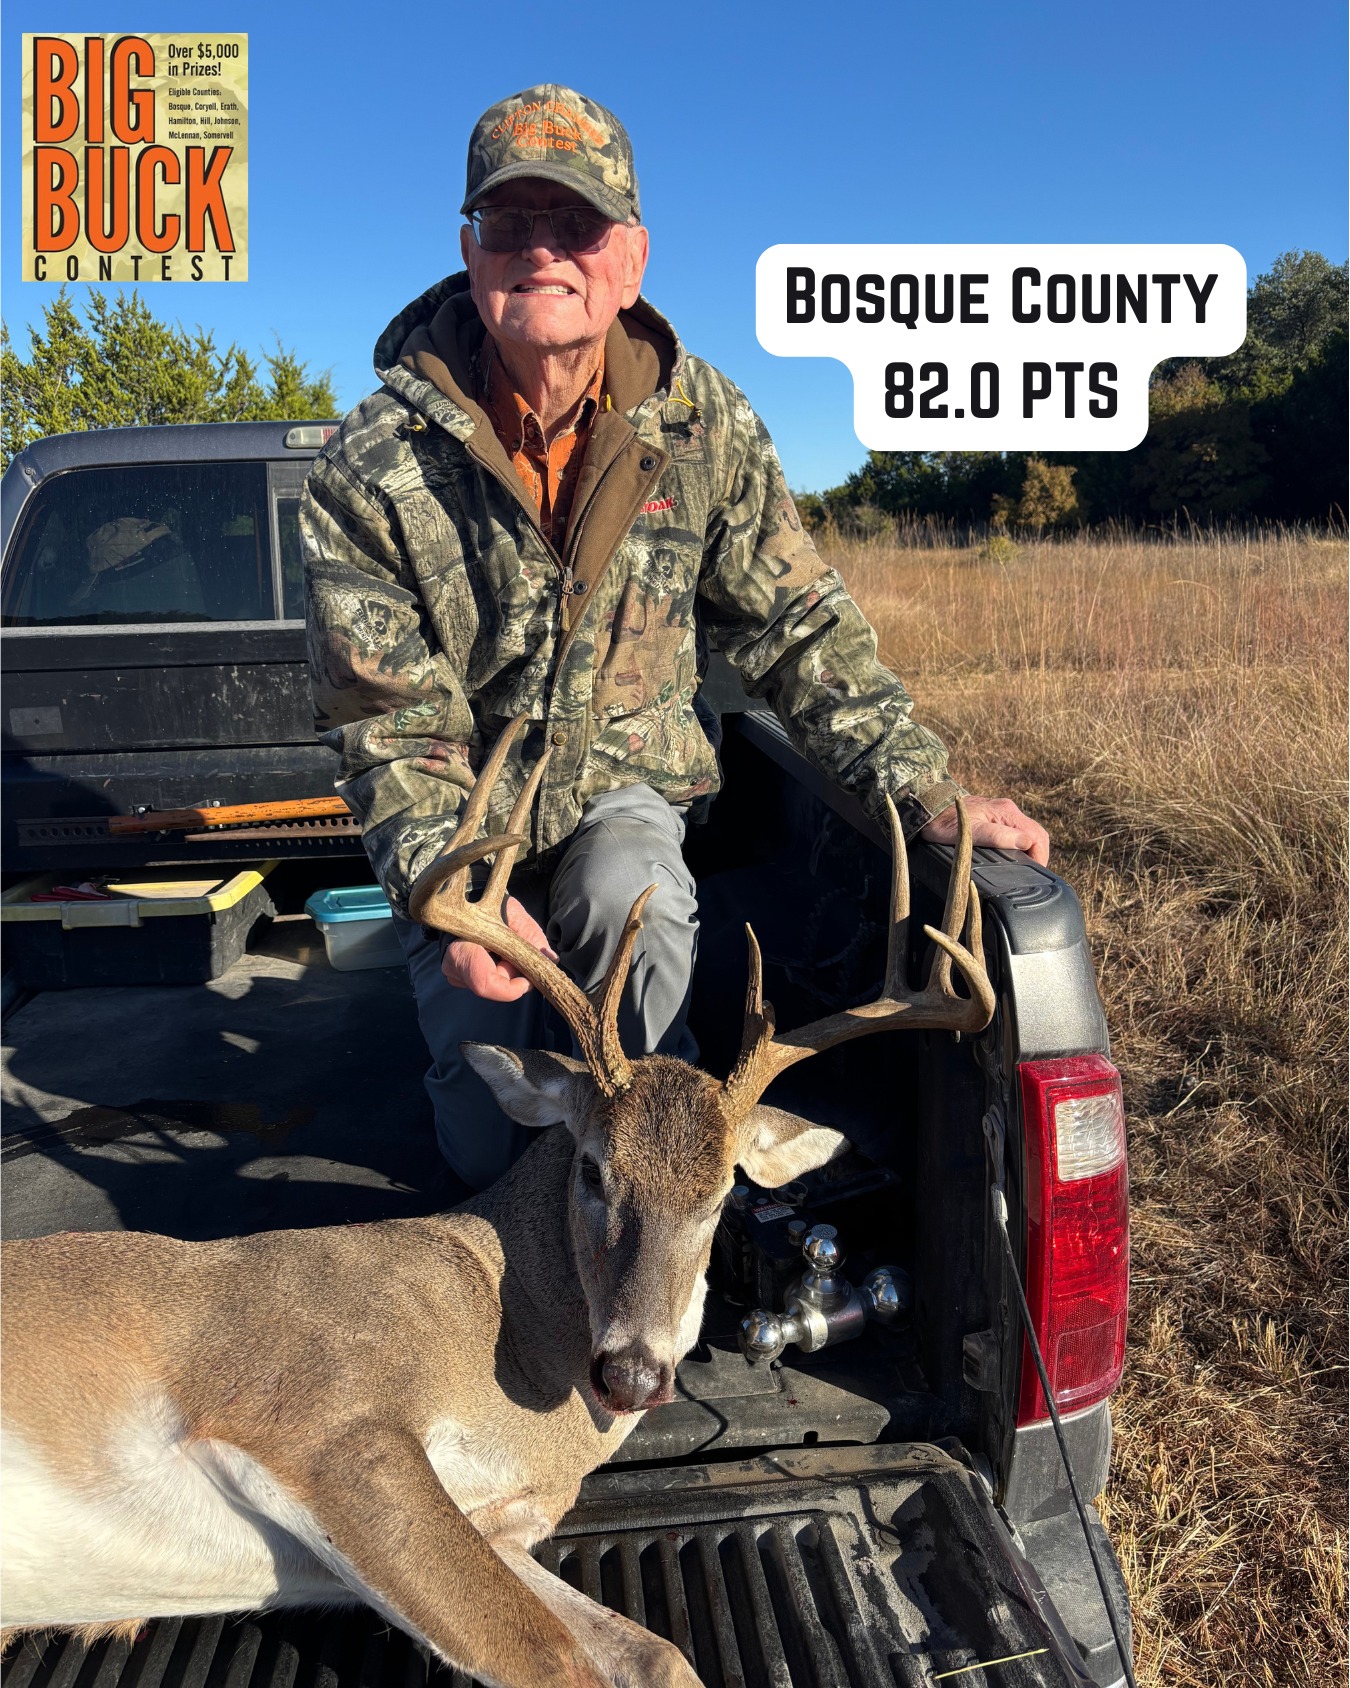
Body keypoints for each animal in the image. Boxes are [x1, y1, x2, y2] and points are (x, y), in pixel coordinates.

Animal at [0, 715, 995, 1688]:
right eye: (591, 1168)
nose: (633, 1376)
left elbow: (658, 1655)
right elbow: (549, 1659)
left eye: (721, 1196)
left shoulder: (499, 1522)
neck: (504, 1339)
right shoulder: (322, 1416)